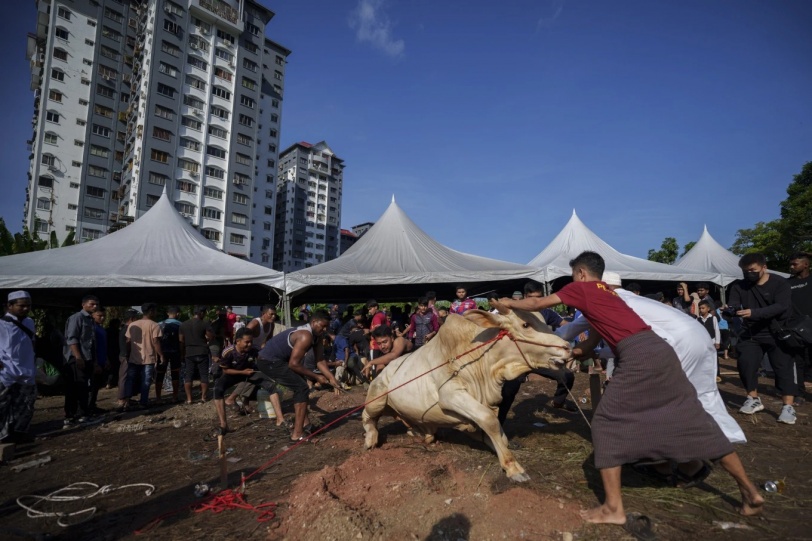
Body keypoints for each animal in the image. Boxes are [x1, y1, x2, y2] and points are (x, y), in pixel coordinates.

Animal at [362, 304, 572, 480]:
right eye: (525, 324)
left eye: (546, 322)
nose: (568, 348)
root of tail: (385, 369)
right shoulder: (450, 395)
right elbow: (489, 420)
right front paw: (513, 468)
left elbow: (498, 434)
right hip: (377, 399)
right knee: (367, 415)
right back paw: (371, 438)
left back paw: (420, 433)